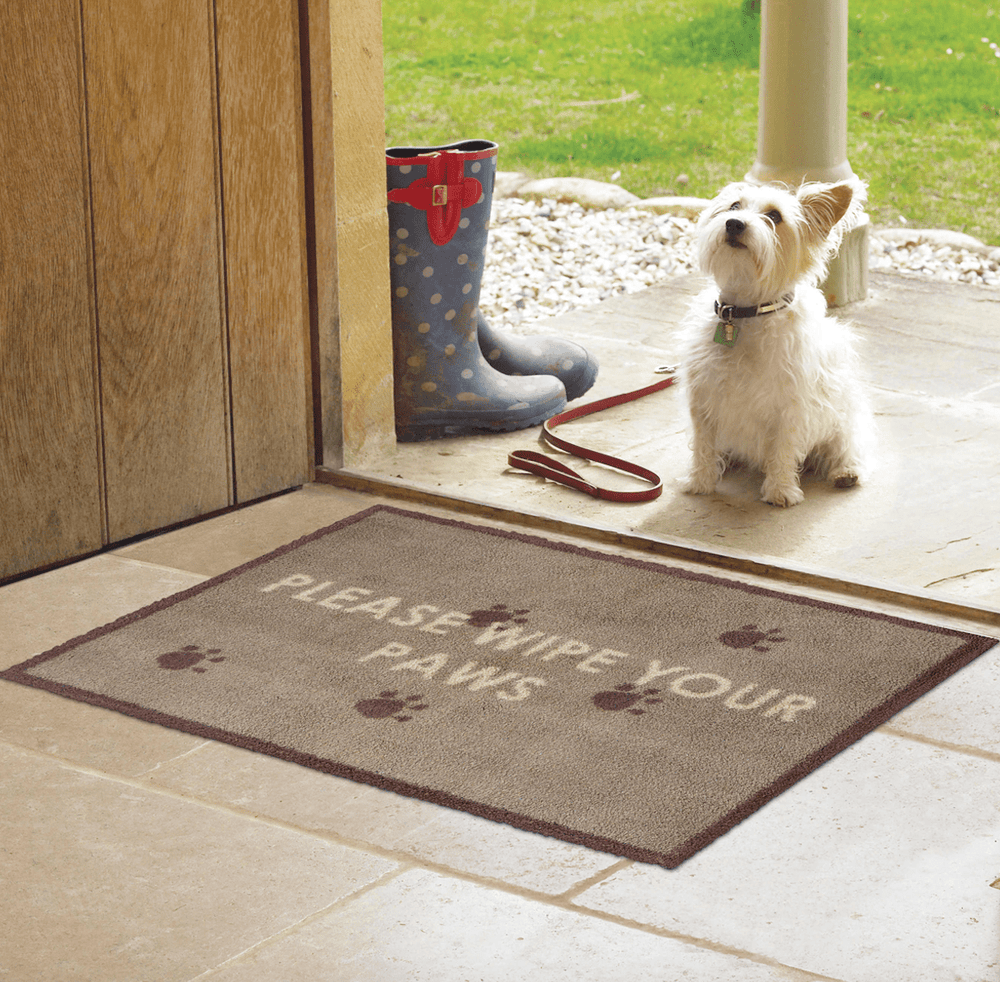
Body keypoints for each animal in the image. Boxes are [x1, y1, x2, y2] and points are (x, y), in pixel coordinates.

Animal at [680, 180, 876, 512]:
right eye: (734, 206)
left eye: (775, 216)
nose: (734, 224)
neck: (744, 314)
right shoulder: (704, 398)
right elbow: (704, 444)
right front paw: (700, 482)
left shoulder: (790, 406)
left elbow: (783, 448)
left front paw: (780, 490)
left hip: (843, 415)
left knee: (844, 446)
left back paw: (846, 471)